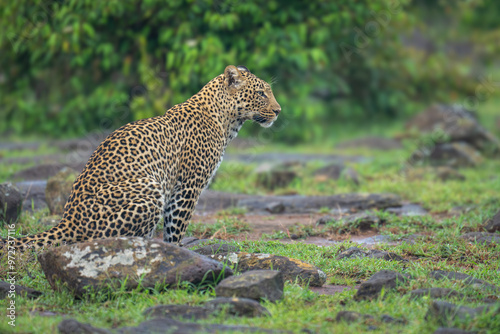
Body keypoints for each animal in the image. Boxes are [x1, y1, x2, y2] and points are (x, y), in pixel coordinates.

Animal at [1, 65, 282, 250]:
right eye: (261, 93)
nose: (279, 111)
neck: (227, 121)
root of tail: (67, 221)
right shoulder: (187, 187)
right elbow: (175, 227)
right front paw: (175, 253)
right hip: (150, 189)